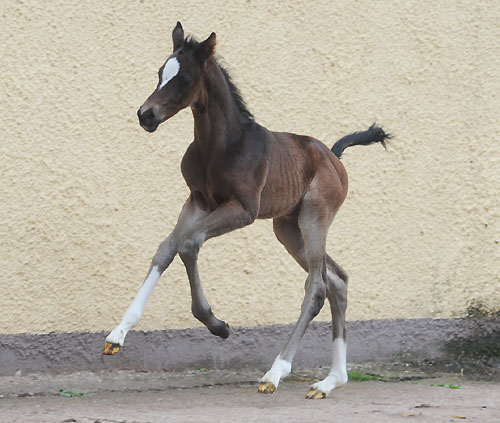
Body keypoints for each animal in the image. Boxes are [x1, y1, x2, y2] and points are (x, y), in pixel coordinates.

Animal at [102, 22, 390, 400]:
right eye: (160, 72)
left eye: (185, 78)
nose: (145, 115)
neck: (220, 145)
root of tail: (333, 155)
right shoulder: (198, 201)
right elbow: (167, 249)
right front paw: (117, 334)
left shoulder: (242, 208)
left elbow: (189, 243)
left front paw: (217, 325)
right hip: (287, 228)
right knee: (337, 280)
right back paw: (330, 381)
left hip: (314, 216)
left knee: (317, 286)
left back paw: (276, 372)